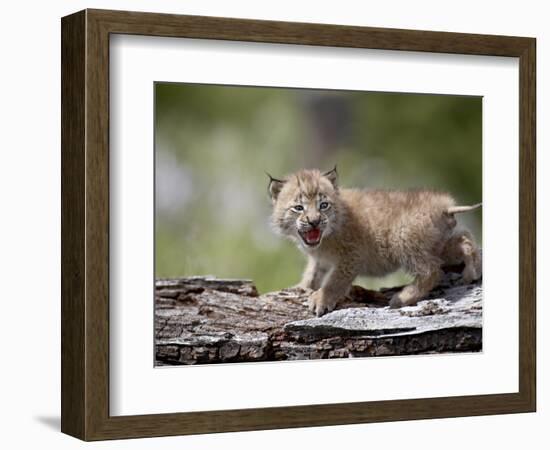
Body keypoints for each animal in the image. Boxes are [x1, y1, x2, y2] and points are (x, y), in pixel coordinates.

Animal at [268, 168, 484, 316]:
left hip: (403, 239)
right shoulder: (320, 259)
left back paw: (402, 298)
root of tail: (445, 205)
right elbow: (313, 273)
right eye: (298, 208)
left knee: (432, 270)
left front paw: (322, 299)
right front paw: (301, 287)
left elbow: (335, 280)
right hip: (436, 244)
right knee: (465, 239)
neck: (325, 238)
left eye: (324, 205)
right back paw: (472, 272)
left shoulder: (351, 255)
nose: (314, 221)